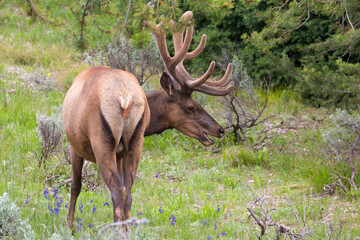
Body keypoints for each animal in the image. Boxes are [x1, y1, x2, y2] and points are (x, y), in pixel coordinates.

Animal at [62, 10, 233, 229]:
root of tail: (125, 96)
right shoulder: (117, 152)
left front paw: (69, 227)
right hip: (135, 141)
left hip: (102, 141)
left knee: (118, 191)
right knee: (128, 192)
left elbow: (75, 185)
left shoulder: (75, 144)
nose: (220, 129)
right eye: (191, 107)